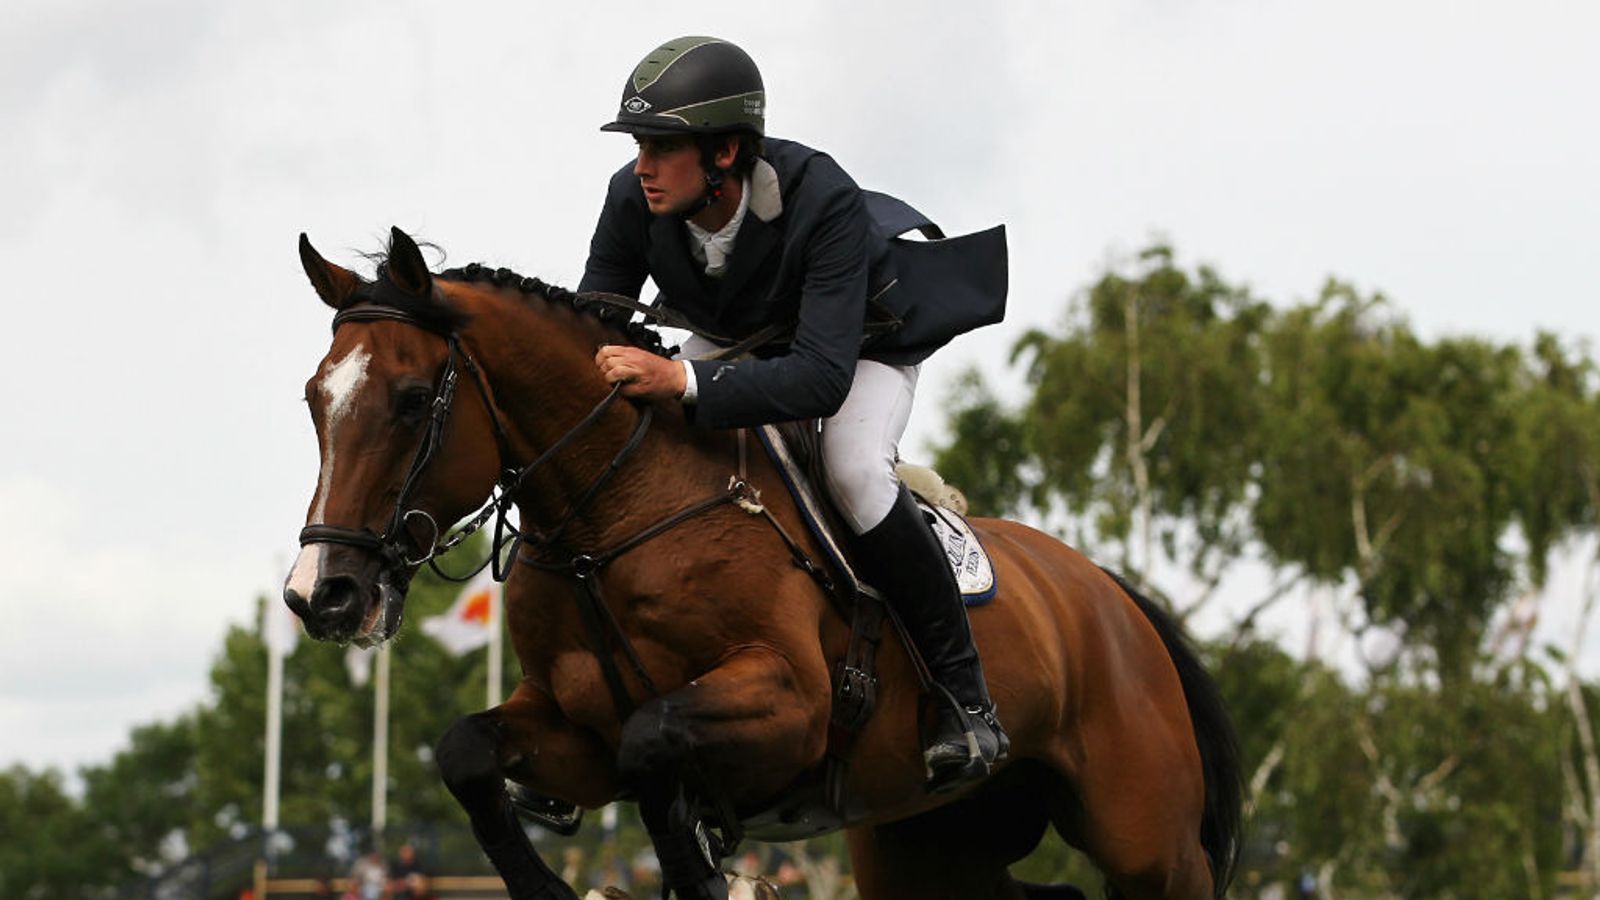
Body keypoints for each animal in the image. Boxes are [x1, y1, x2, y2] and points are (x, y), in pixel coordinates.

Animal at [283, 227, 1243, 900]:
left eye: (414, 401)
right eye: (313, 401)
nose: (321, 597)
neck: (611, 512)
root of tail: (1114, 595)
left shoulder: (791, 706)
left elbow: (654, 738)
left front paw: (705, 874)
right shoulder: (574, 736)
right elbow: (468, 752)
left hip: (1149, 843)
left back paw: (966, 726)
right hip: (927, 847)